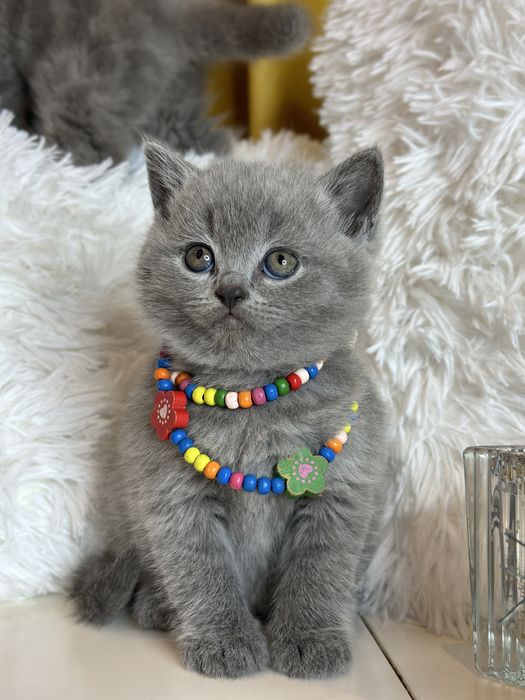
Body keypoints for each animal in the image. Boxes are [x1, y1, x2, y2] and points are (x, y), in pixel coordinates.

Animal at [71, 139, 388, 679]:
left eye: (280, 261)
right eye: (199, 256)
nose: (230, 290)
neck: (248, 397)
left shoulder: (342, 491)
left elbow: (320, 569)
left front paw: (309, 641)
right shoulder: (172, 498)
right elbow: (202, 570)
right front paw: (225, 643)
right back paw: (157, 607)